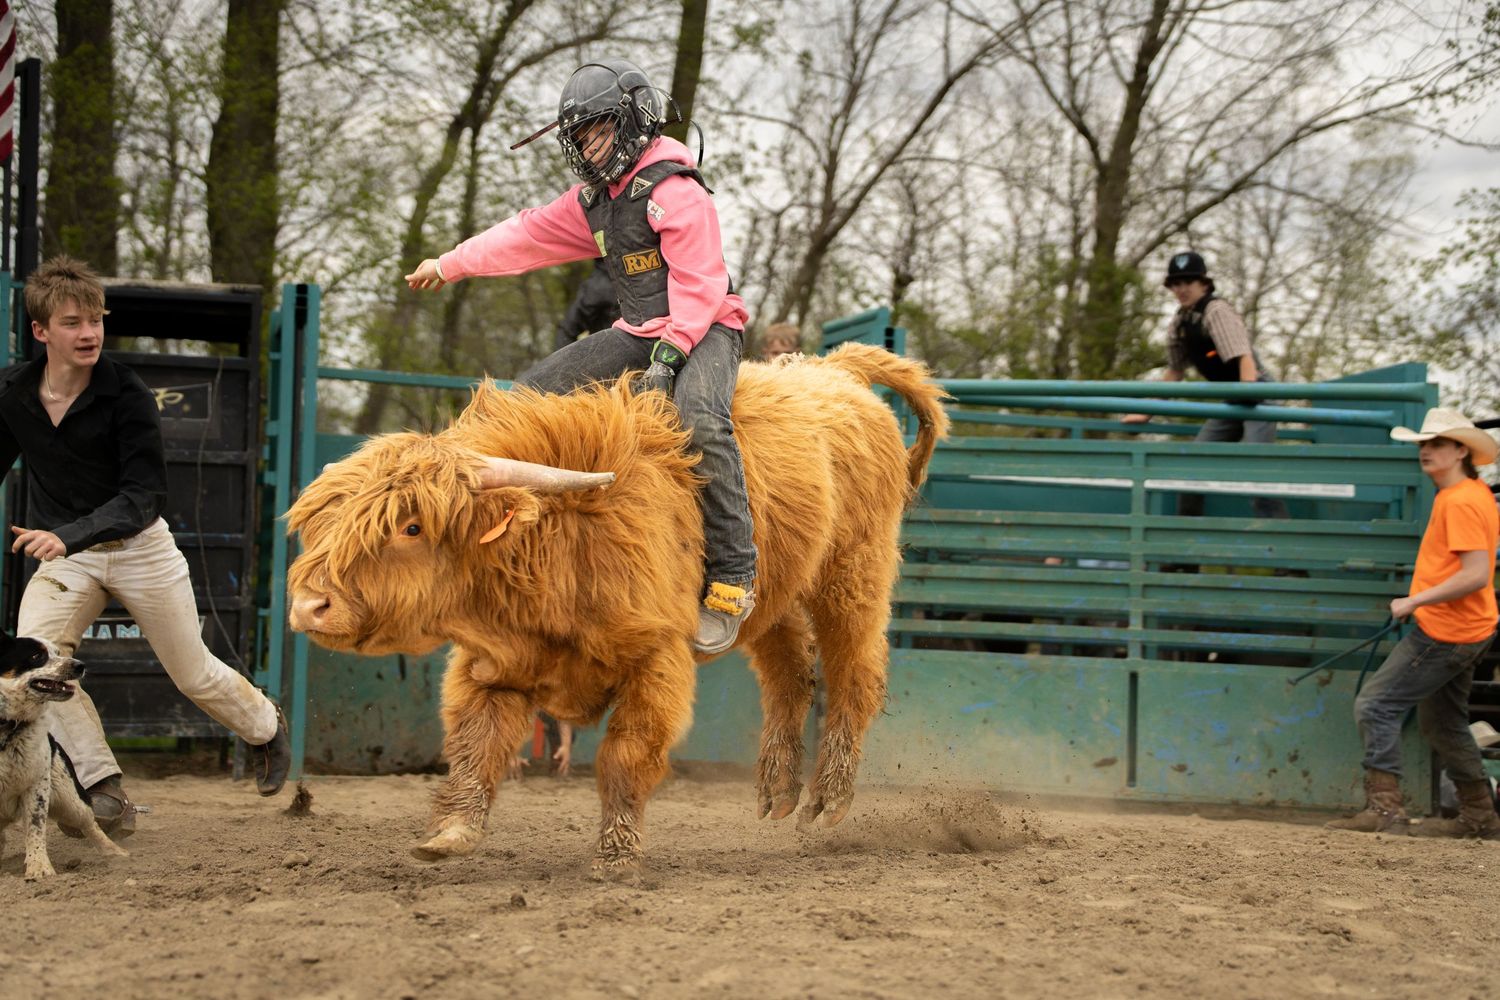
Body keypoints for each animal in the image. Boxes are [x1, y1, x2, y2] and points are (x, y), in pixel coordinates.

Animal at [285, 343, 949, 878]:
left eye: (412, 526)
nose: (310, 605)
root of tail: (832, 370)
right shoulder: (491, 665)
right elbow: (476, 744)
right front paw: (450, 834)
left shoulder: (656, 663)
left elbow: (625, 756)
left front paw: (616, 856)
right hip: (774, 592)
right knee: (789, 670)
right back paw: (778, 790)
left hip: (853, 575)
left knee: (854, 672)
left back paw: (828, 798)